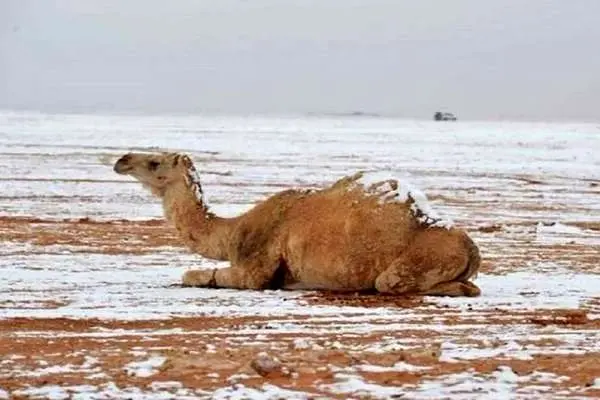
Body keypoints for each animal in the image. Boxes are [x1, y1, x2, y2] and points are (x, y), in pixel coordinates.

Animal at [113, 152, 481, 297]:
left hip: (417, 261)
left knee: (391, 282)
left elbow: (194, 274)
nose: (121, 160)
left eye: (154, 162)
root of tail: (471, 248)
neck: (234, 231)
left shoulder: (255, 267)